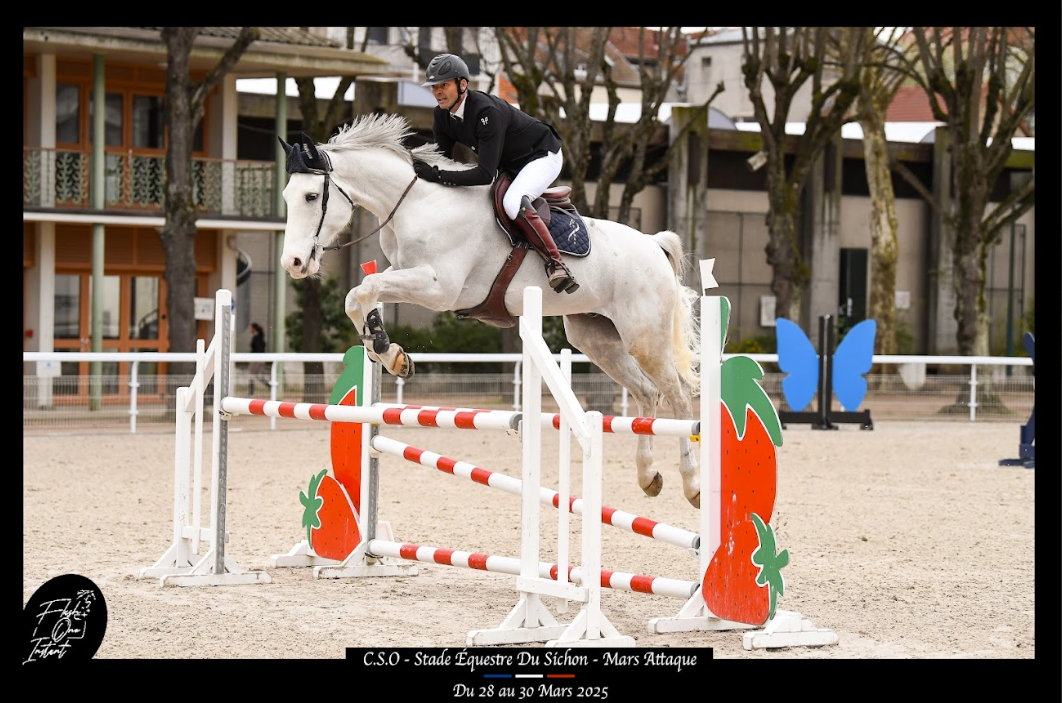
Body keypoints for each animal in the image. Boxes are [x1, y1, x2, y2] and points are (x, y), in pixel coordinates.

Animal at [278, 112, 704, 508]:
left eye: (311, 197)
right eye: (285, 195)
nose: (293, 263)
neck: (417, 205)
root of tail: (653, 244)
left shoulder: (439, 288)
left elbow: (363, 289)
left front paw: (388, 351)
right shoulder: (404, 273)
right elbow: (360, 295)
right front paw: (388, 352)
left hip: (644, 338)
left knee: (680, 399)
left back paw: (693, 484)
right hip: (597, 338)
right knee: (648, 393)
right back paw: (648, 476)